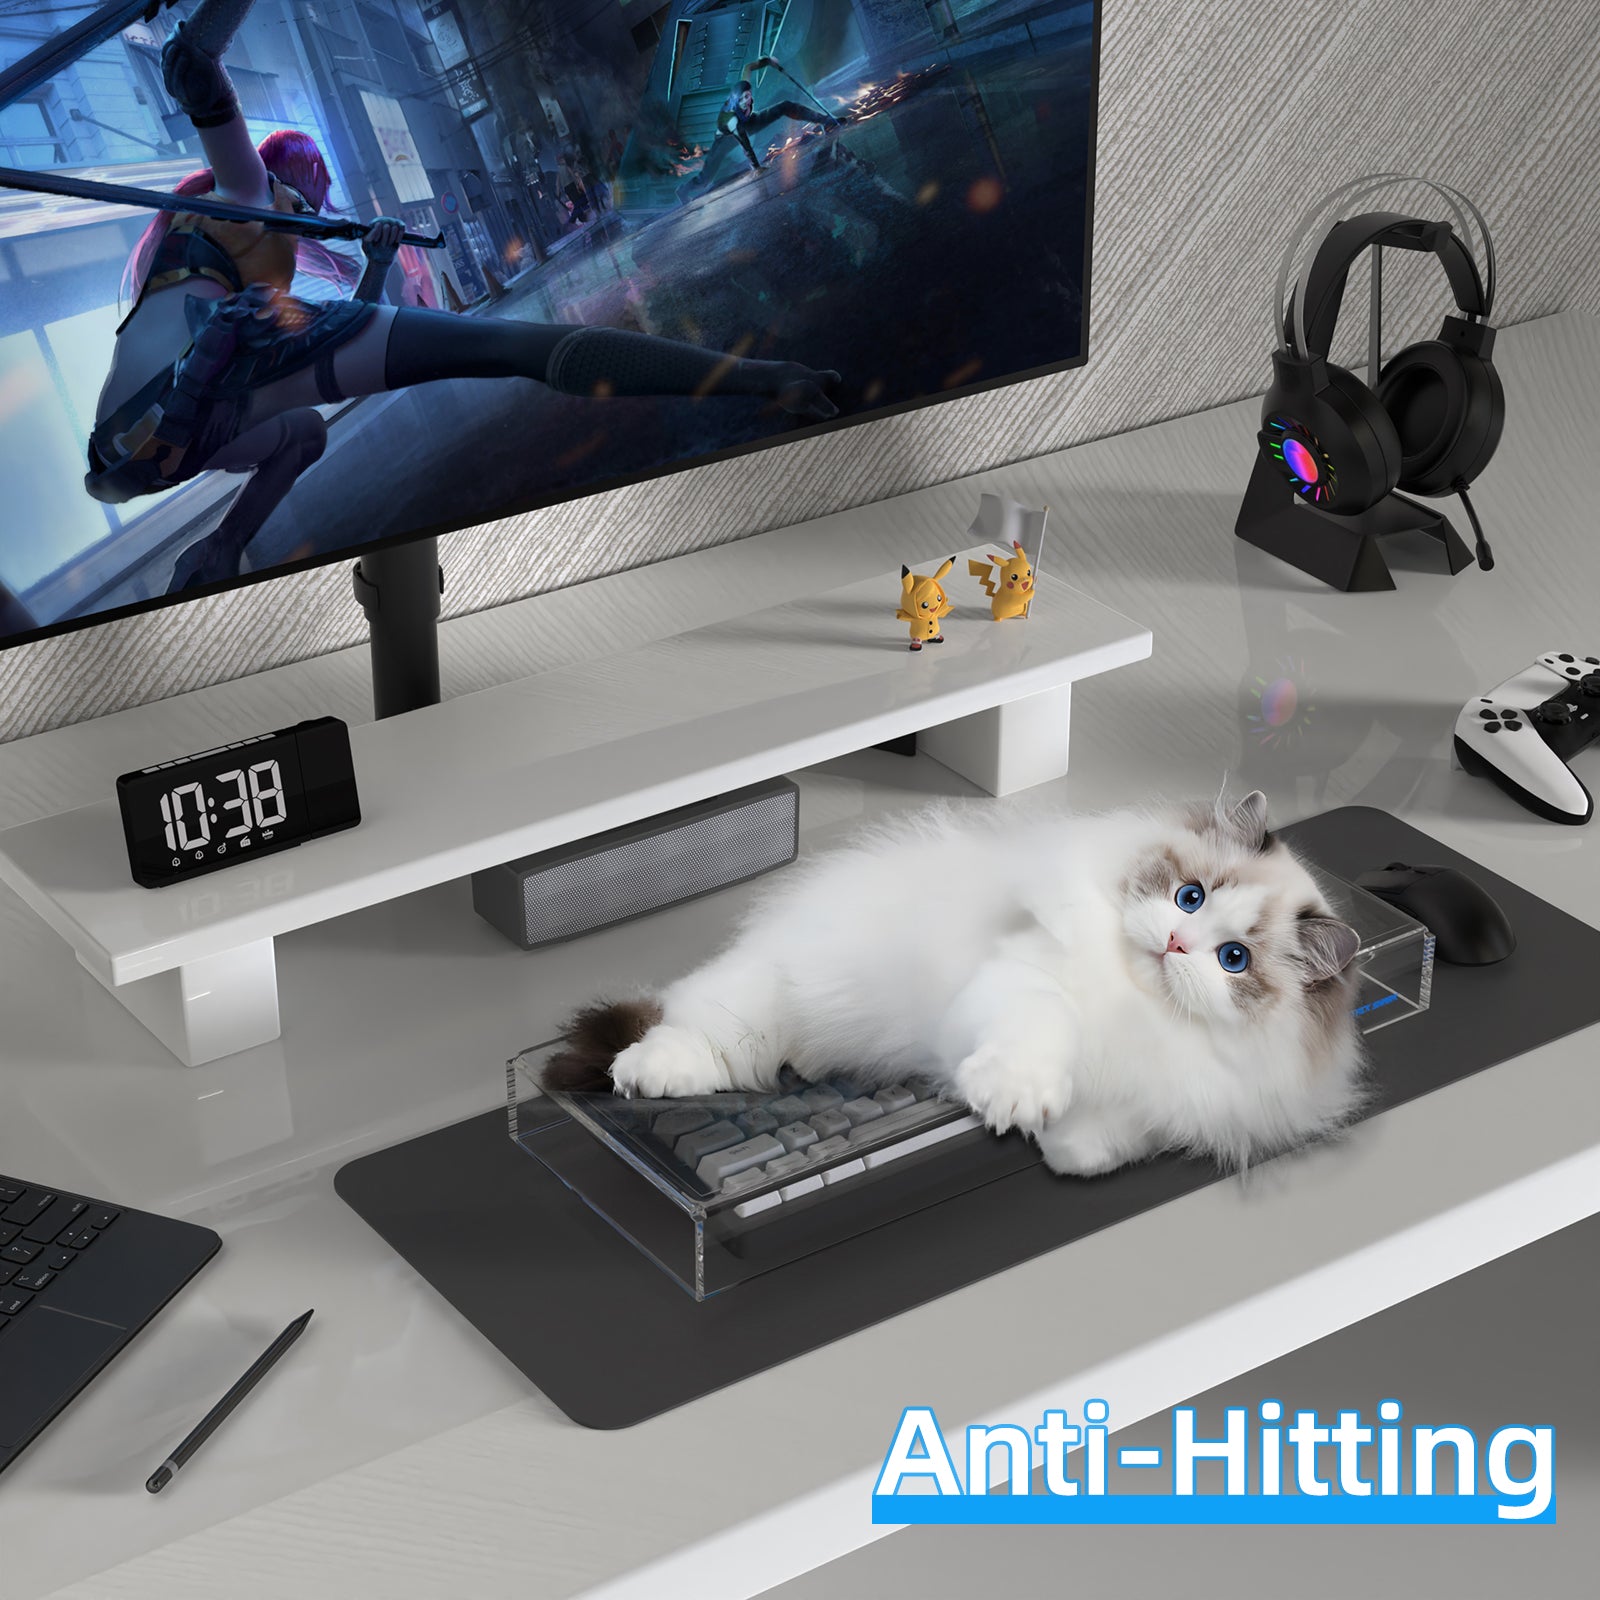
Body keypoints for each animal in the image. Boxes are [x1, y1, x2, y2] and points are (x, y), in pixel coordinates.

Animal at [547, 790, 1363, 1177]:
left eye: (1233, 959)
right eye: (1189, 896)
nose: (1175, 942)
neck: (1139, 1006)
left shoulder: (1176, 1099)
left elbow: (1113, 1137)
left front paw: (1064, 1149)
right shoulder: (1022, 984)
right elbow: (1037, 1038)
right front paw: (1016, 1101)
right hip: (751, 1009)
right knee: (690, 1035)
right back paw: (644, 1071)